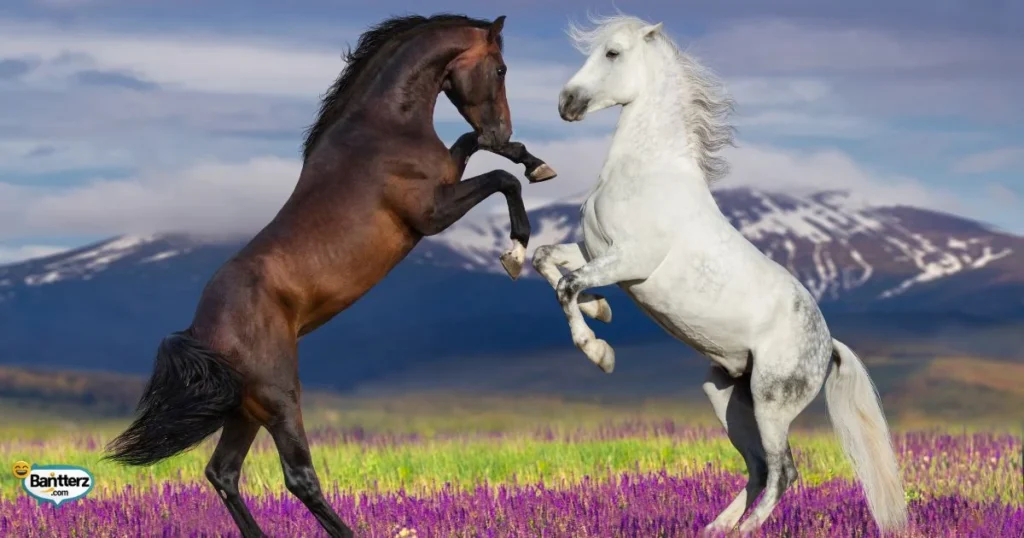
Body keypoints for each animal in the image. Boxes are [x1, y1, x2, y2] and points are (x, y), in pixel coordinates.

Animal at [104, 13, 556, 538]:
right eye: (501, 69)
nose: (502, 127)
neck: (383, 128)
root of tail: (200, 330)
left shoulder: (448, 176)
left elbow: (476, 149)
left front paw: (535, 162)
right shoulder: (431, 213)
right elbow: (501, 180)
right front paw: (515, 250)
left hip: (247, 408)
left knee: (223, 472)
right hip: (280, 398)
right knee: (298, 477)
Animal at [532, 14, 909, 535]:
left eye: (613, 53)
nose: (567, 103)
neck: (646, 172)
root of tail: (828, 346)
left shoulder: (629, 261)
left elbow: (568, 285)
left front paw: (599, 352)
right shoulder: (594, 250)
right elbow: (545, 259)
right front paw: (601, 310)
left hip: (772, 403)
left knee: (784, 471)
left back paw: (745, 529)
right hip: (726, 395)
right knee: (758, 468)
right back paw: (715, 527)